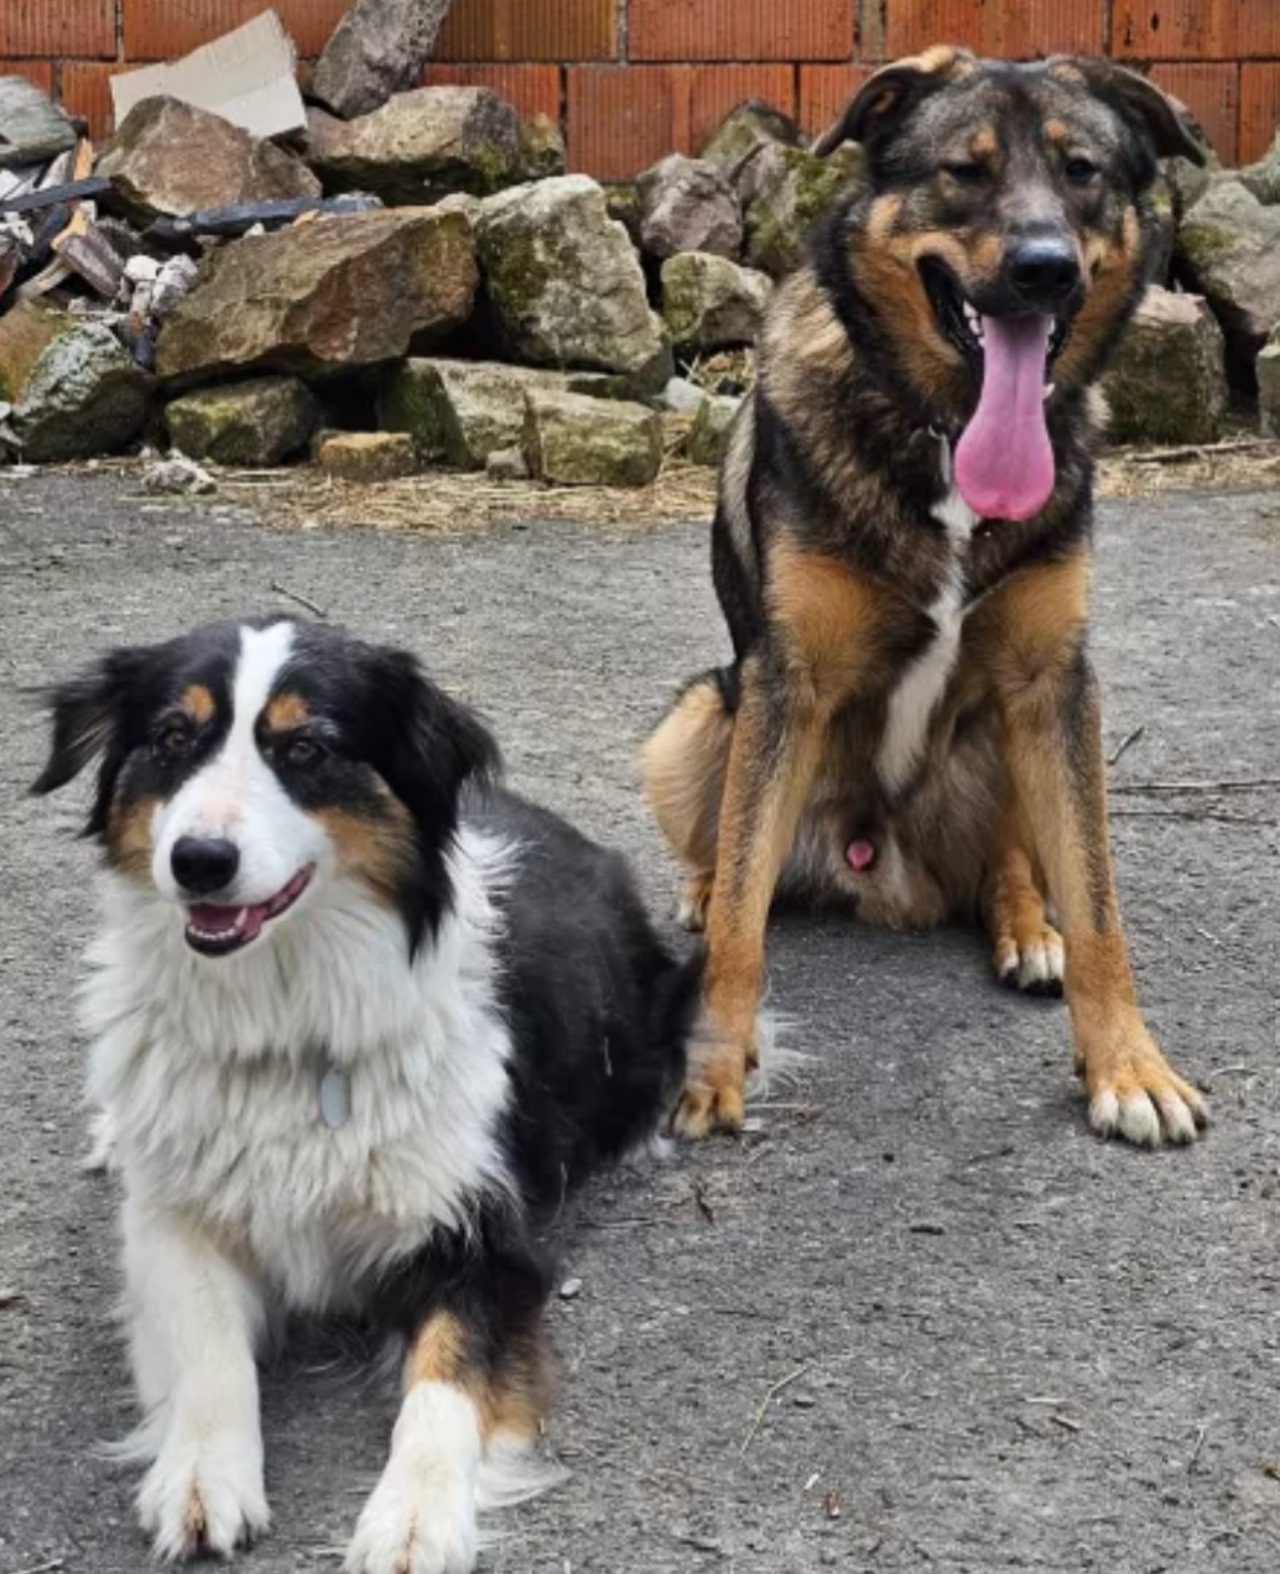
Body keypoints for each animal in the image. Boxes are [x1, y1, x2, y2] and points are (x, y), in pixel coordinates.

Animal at [35, 617, 699, 1574]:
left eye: (306, 747)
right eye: (170, 738)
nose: (198, 862)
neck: (288, 1023)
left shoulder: (482, 1237)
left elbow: (445, 1381)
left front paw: (417, 1516)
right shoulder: (173, 1219)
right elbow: (208, 1347)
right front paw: (202, 1475)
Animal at [645, 49, 1215, 1152]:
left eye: (1082, 173)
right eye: (963, 171)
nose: (1044, 268)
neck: (947, 433)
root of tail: (883, 870)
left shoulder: (1054, 684)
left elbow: (1099, 908)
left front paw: (1129, 1065)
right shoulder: (785, 685)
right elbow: (740, 916)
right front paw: (712, 1063)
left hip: (1006, 735)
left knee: (1010, 864)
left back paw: (1023, 925)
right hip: (696, 716)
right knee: (726, 853)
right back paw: (701, 885)